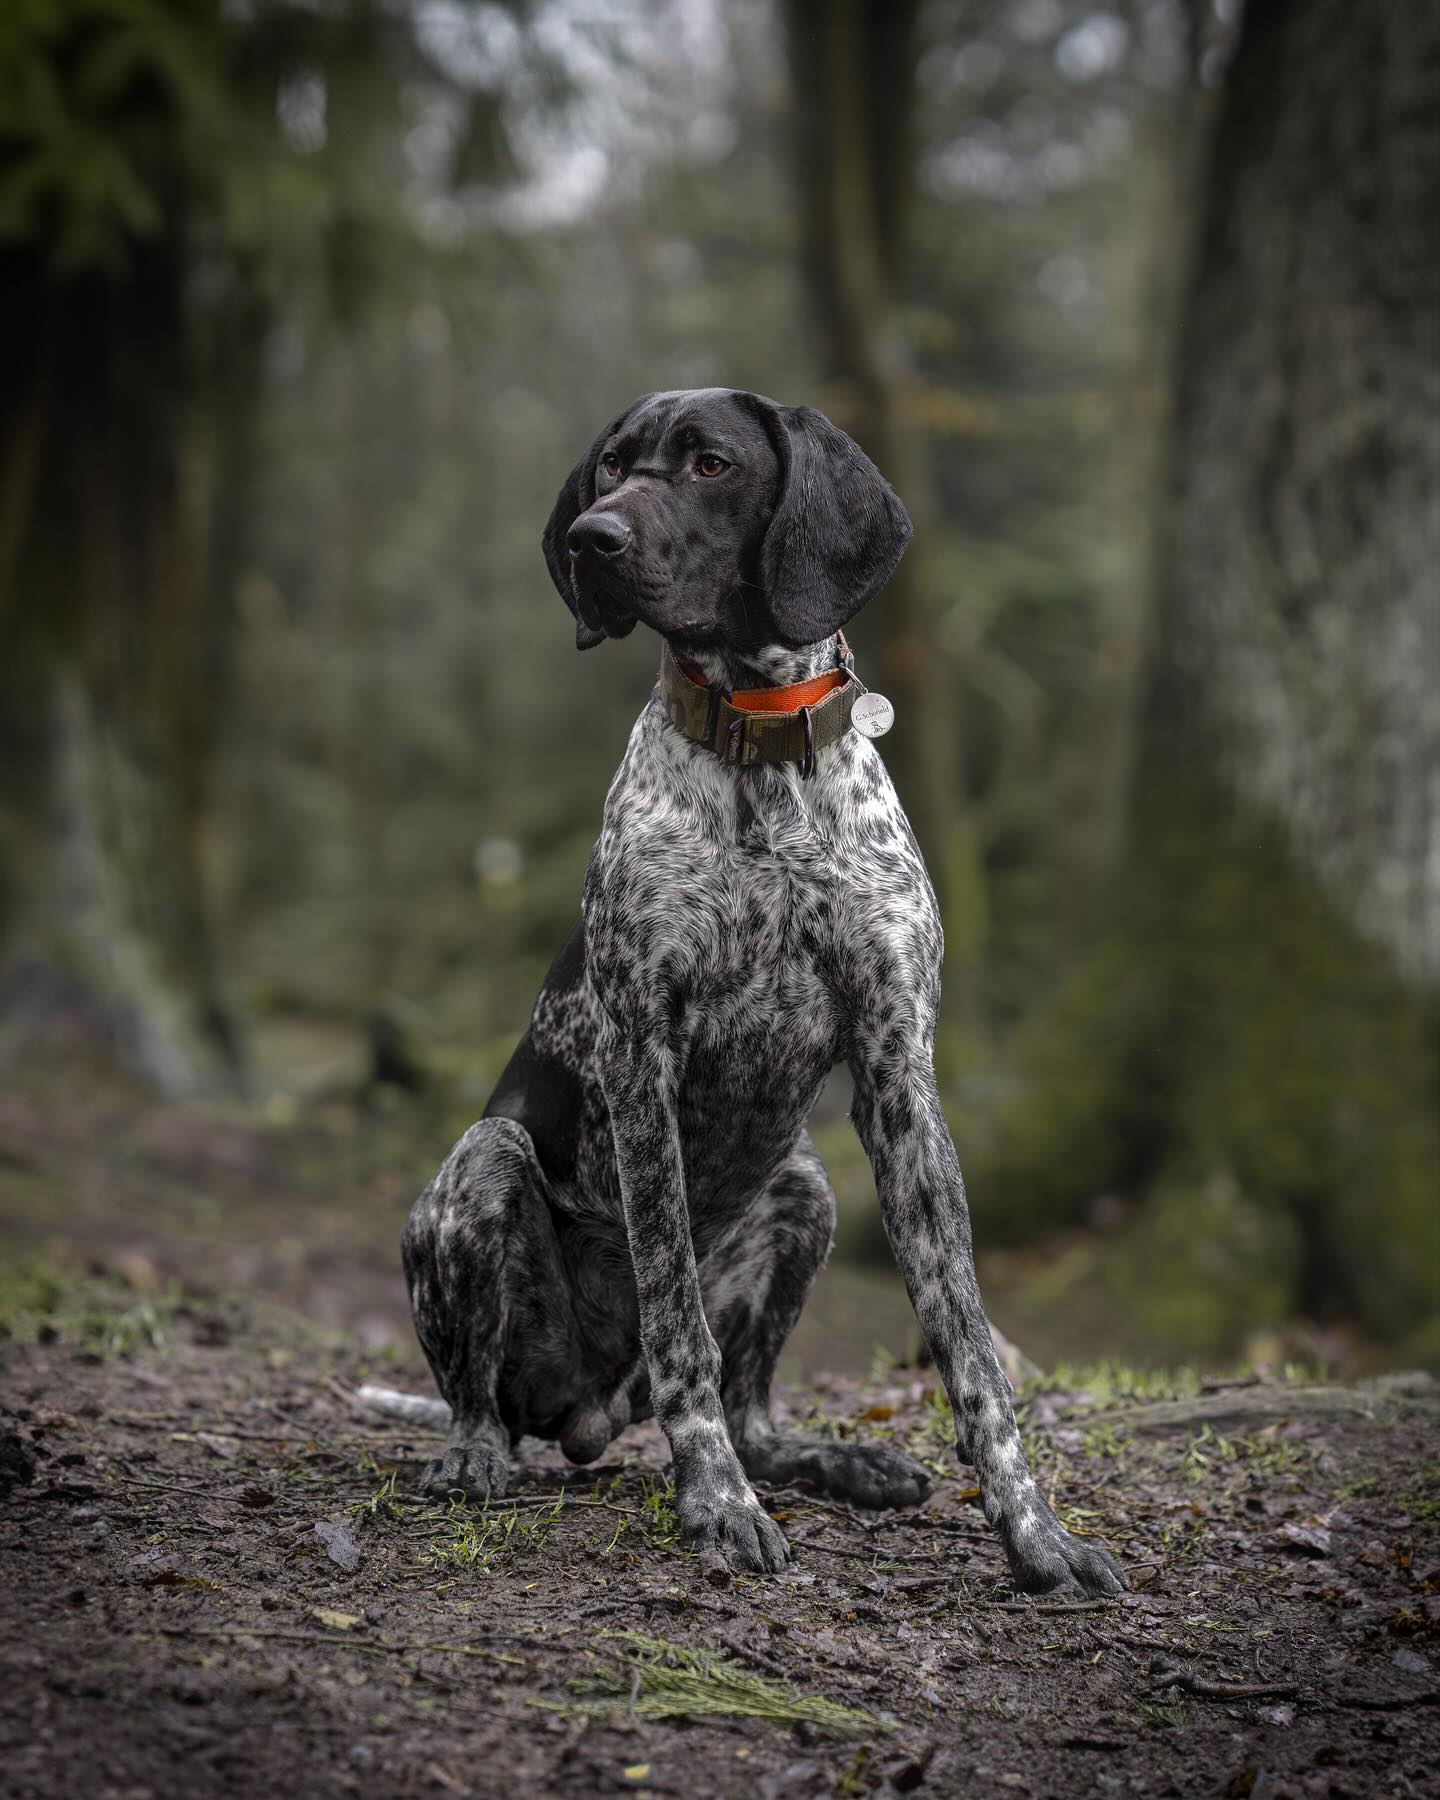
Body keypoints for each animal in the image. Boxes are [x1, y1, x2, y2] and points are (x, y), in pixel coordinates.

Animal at [360, 387, 1123, 1598]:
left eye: (710, 464)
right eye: (611, 468)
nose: (593, 539)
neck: (762, 749)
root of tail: (590, 1410)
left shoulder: (900, 1072)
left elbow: (968, 1343)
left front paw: (1035, 1531)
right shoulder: (641, 1062)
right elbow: (679, 1320)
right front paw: (714, 1502)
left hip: (805, 1187)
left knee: (760, 1407)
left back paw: (839, 1462)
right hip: (483, 1167)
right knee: (492, 1392)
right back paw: (477, 1455)